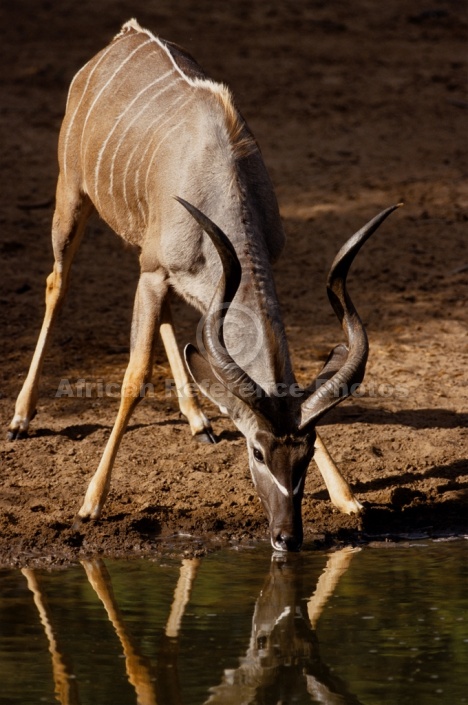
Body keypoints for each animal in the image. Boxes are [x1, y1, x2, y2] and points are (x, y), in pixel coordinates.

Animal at [7, 19, 396, 552]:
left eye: (306, 451)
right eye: (256, 453)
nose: (286, 538)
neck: (219, 174)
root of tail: (122, 37)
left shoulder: (190, 278)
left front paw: (347, 496)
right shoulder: (152, 274)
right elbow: (133, 377)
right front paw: (91, 503)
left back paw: (197, 419)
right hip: (72, 196)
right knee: (56, 284)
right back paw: (21, 418)